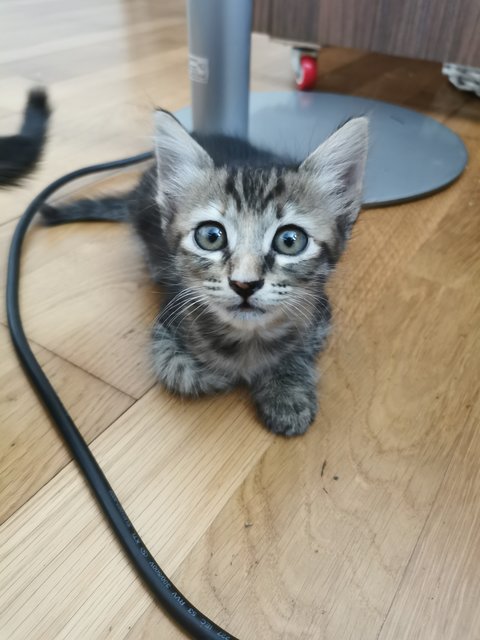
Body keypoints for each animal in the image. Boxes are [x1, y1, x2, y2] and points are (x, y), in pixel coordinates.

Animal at [44, 110, 368, 436]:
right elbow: (178, 371)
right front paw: (225, 374)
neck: (248, 336)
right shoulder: (167, 320)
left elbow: (299, 348)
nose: (244, 284)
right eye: (211, 236)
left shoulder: (320, 312)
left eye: (290, 240)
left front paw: (286, 390)